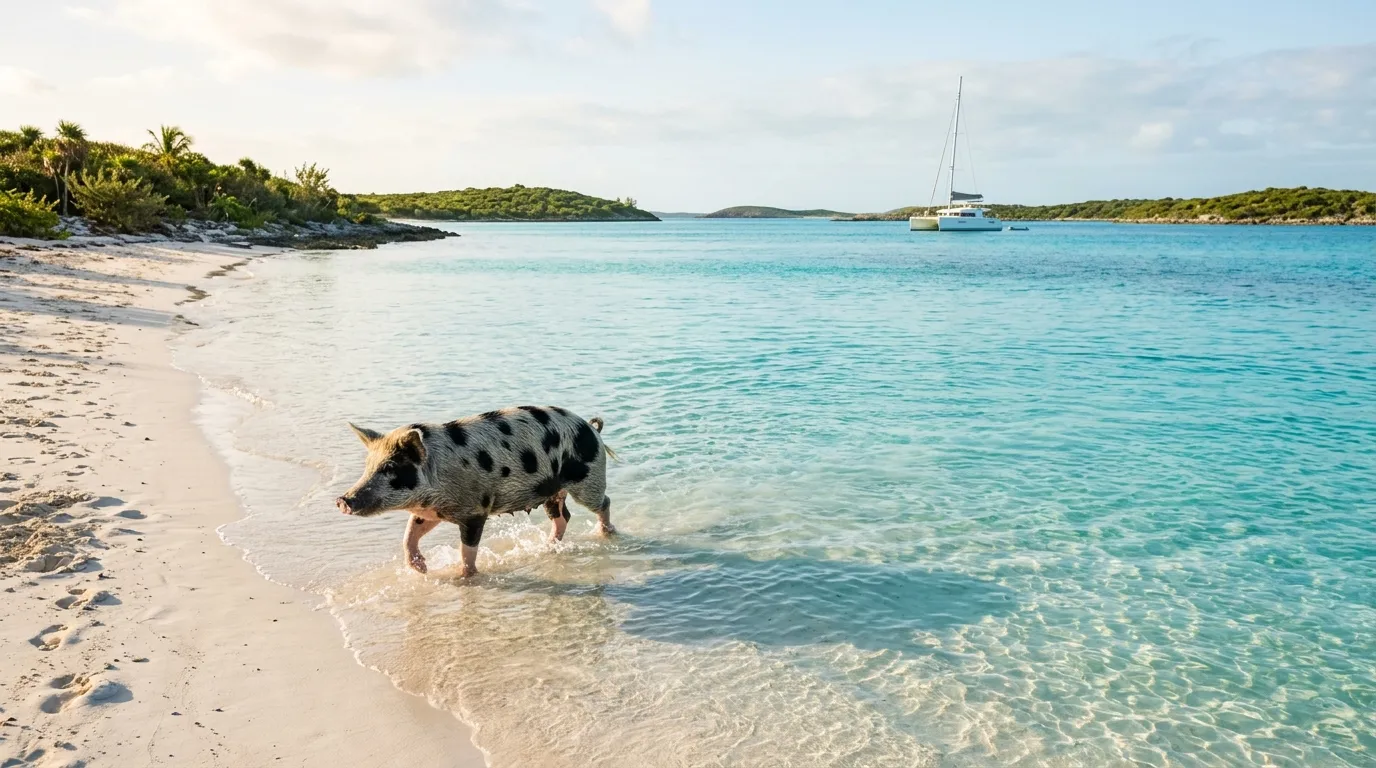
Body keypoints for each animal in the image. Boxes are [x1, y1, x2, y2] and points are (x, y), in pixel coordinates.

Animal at [335, 406, 616, 577]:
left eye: (390, 467)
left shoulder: (474, 511)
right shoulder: (431, 512)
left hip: (587, 480)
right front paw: (422, 569)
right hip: (551, 491)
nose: (342, 499)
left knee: (604, 502)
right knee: (562, 517)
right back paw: (548, 545)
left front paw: (464, 577)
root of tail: (592, 429)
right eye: (367, 466)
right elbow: (409, 534)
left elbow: (467, 549)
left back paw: (606, 533)